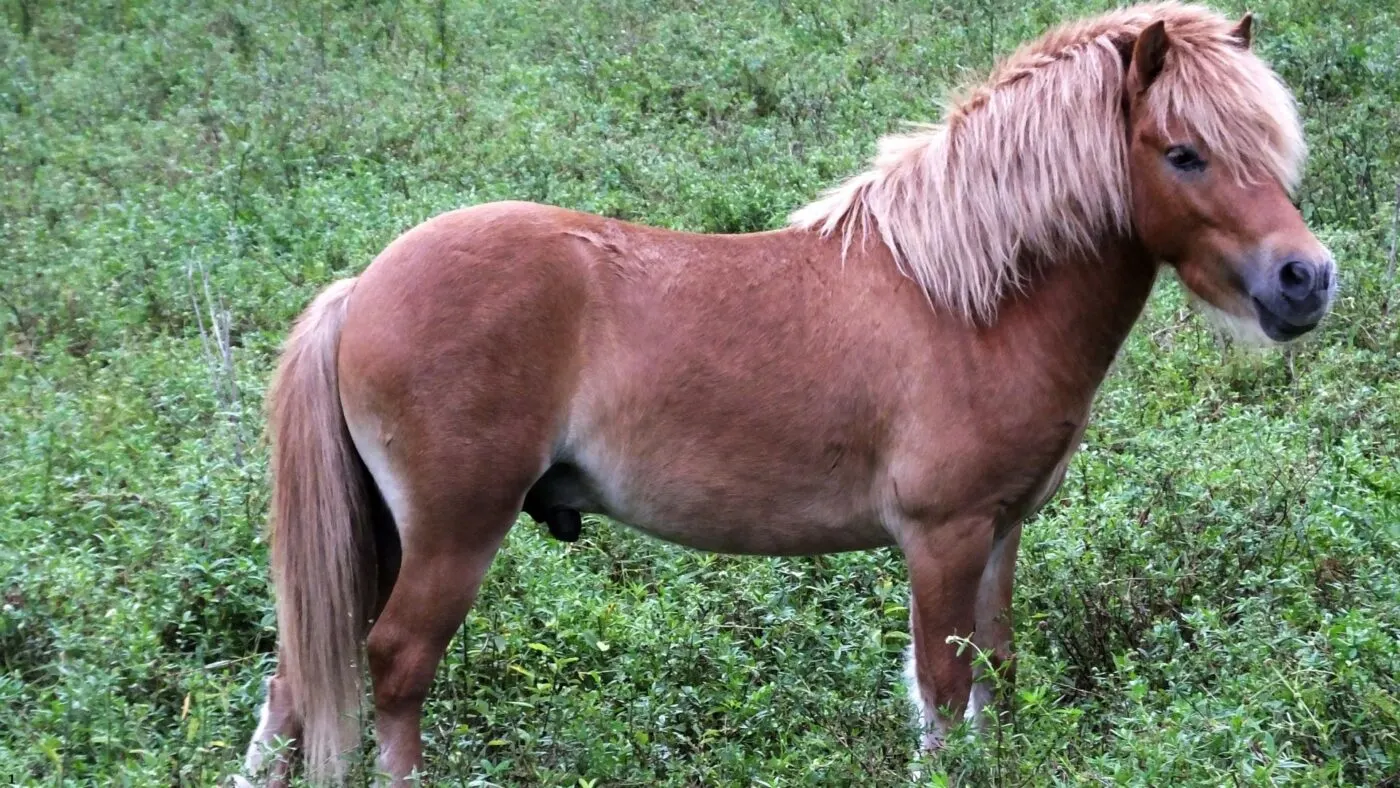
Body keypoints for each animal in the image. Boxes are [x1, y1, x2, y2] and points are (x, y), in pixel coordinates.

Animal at [242, 3, 1336, 783]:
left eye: (1272, 147)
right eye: (1183, 152)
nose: (1305, 280)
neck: (964, 297)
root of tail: (361, 286)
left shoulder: (1001, 531)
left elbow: (995, 673)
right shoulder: (940, 538)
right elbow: (942, 694)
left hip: (380, 534)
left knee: (297, 679)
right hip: (452, 533)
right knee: (394, 668)